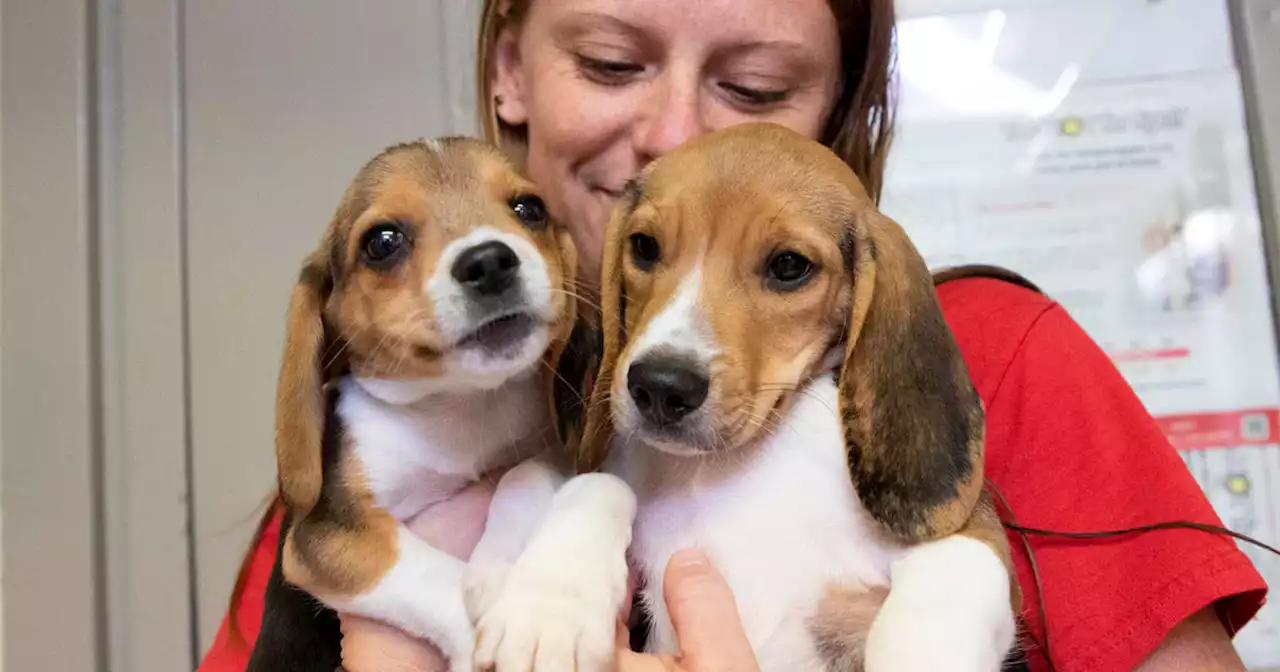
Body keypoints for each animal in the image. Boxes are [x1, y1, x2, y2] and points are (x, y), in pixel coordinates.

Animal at [245, 135, 634, 670]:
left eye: (529, 208)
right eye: (383, 242)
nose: (489, 261)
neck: (458, 403)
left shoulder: (549, 450)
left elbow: (522, 472)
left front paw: (502, 570)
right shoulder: (328, 536)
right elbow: (431, 575)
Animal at [570, 121, 1018, 670]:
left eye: (788, 266)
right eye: (644, 247)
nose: (659, 385)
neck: (727, 466)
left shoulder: (974, 536)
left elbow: (941, 593)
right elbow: (594, 489)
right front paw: (548, 616)